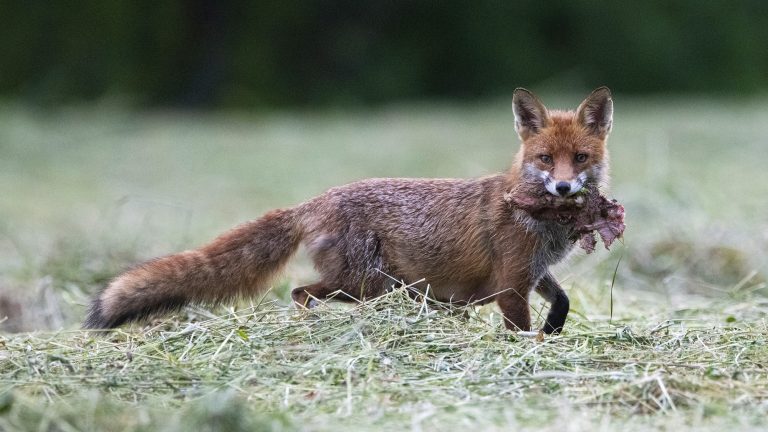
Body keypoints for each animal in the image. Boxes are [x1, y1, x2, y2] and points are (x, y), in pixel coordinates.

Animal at [82, 87, 612, 334]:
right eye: (545, 159)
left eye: (580, 158)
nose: (564, 186)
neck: (542, 223)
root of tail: (315, 200)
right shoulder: (510, 284)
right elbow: (518, 330)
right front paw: (528, 351)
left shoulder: (533, 273)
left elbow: (563, 301)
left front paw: (553, 331)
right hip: (365, 284)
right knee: (299, 291)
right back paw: (308, 325)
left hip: (367, 286)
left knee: (302, 291)